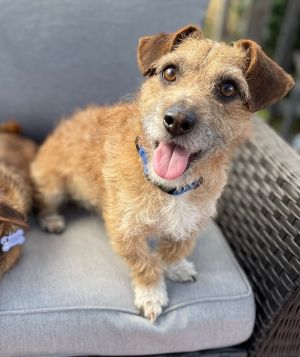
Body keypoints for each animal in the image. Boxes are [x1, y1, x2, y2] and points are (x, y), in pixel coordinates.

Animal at [31, 24, 296, 320]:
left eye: (228, 88)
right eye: (169, 72)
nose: (177, 121)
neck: (171, 189)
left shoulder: (190, 223)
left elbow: (174, 250)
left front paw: (175, 268)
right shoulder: (124, 230)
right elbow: (145, 263)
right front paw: (151, 294)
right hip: (52, 188)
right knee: (43, 203)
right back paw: (52, 220)